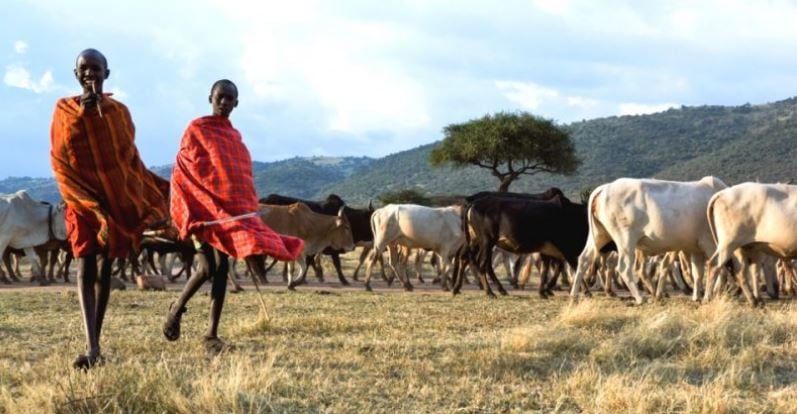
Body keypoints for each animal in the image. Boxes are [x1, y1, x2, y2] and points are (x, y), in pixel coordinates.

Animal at [454, 194, 592, 298]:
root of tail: (474, 204)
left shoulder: (549, 251)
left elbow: (546, 269)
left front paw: (543, 291)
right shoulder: (566, 250)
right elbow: (576, 268)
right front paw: (587, 292)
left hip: (476, 241)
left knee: (468, 259)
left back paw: (458, 288)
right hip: (486, 241)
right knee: (482, 264)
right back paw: (490, 292)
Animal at [568, 175, 724, 304]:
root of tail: (605, 187)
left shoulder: (696, 248)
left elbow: (698, 273)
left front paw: (698, 296)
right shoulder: (710, 244)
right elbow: (718, 267)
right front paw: (714, 293)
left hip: (599, 234)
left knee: (584, 259)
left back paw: (574, 296)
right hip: (625, 238)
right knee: (624, 267)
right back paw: (640, 297)